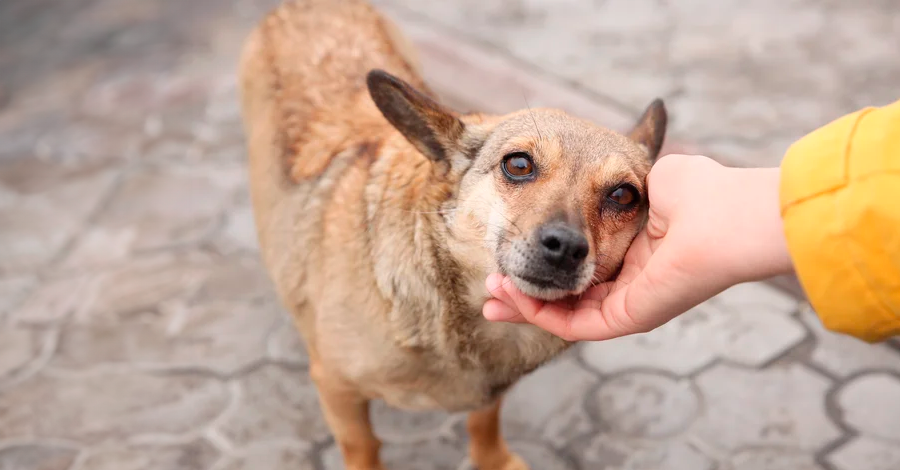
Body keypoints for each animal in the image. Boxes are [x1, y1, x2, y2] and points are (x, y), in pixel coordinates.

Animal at [237, 1, 660, 468]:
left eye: (623, 195)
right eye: (518, 164)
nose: (566, 247)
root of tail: (307, 5)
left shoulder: (490, 392)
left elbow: (484, 420)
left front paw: (493, 459)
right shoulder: (336, 389)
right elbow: (363, 446)